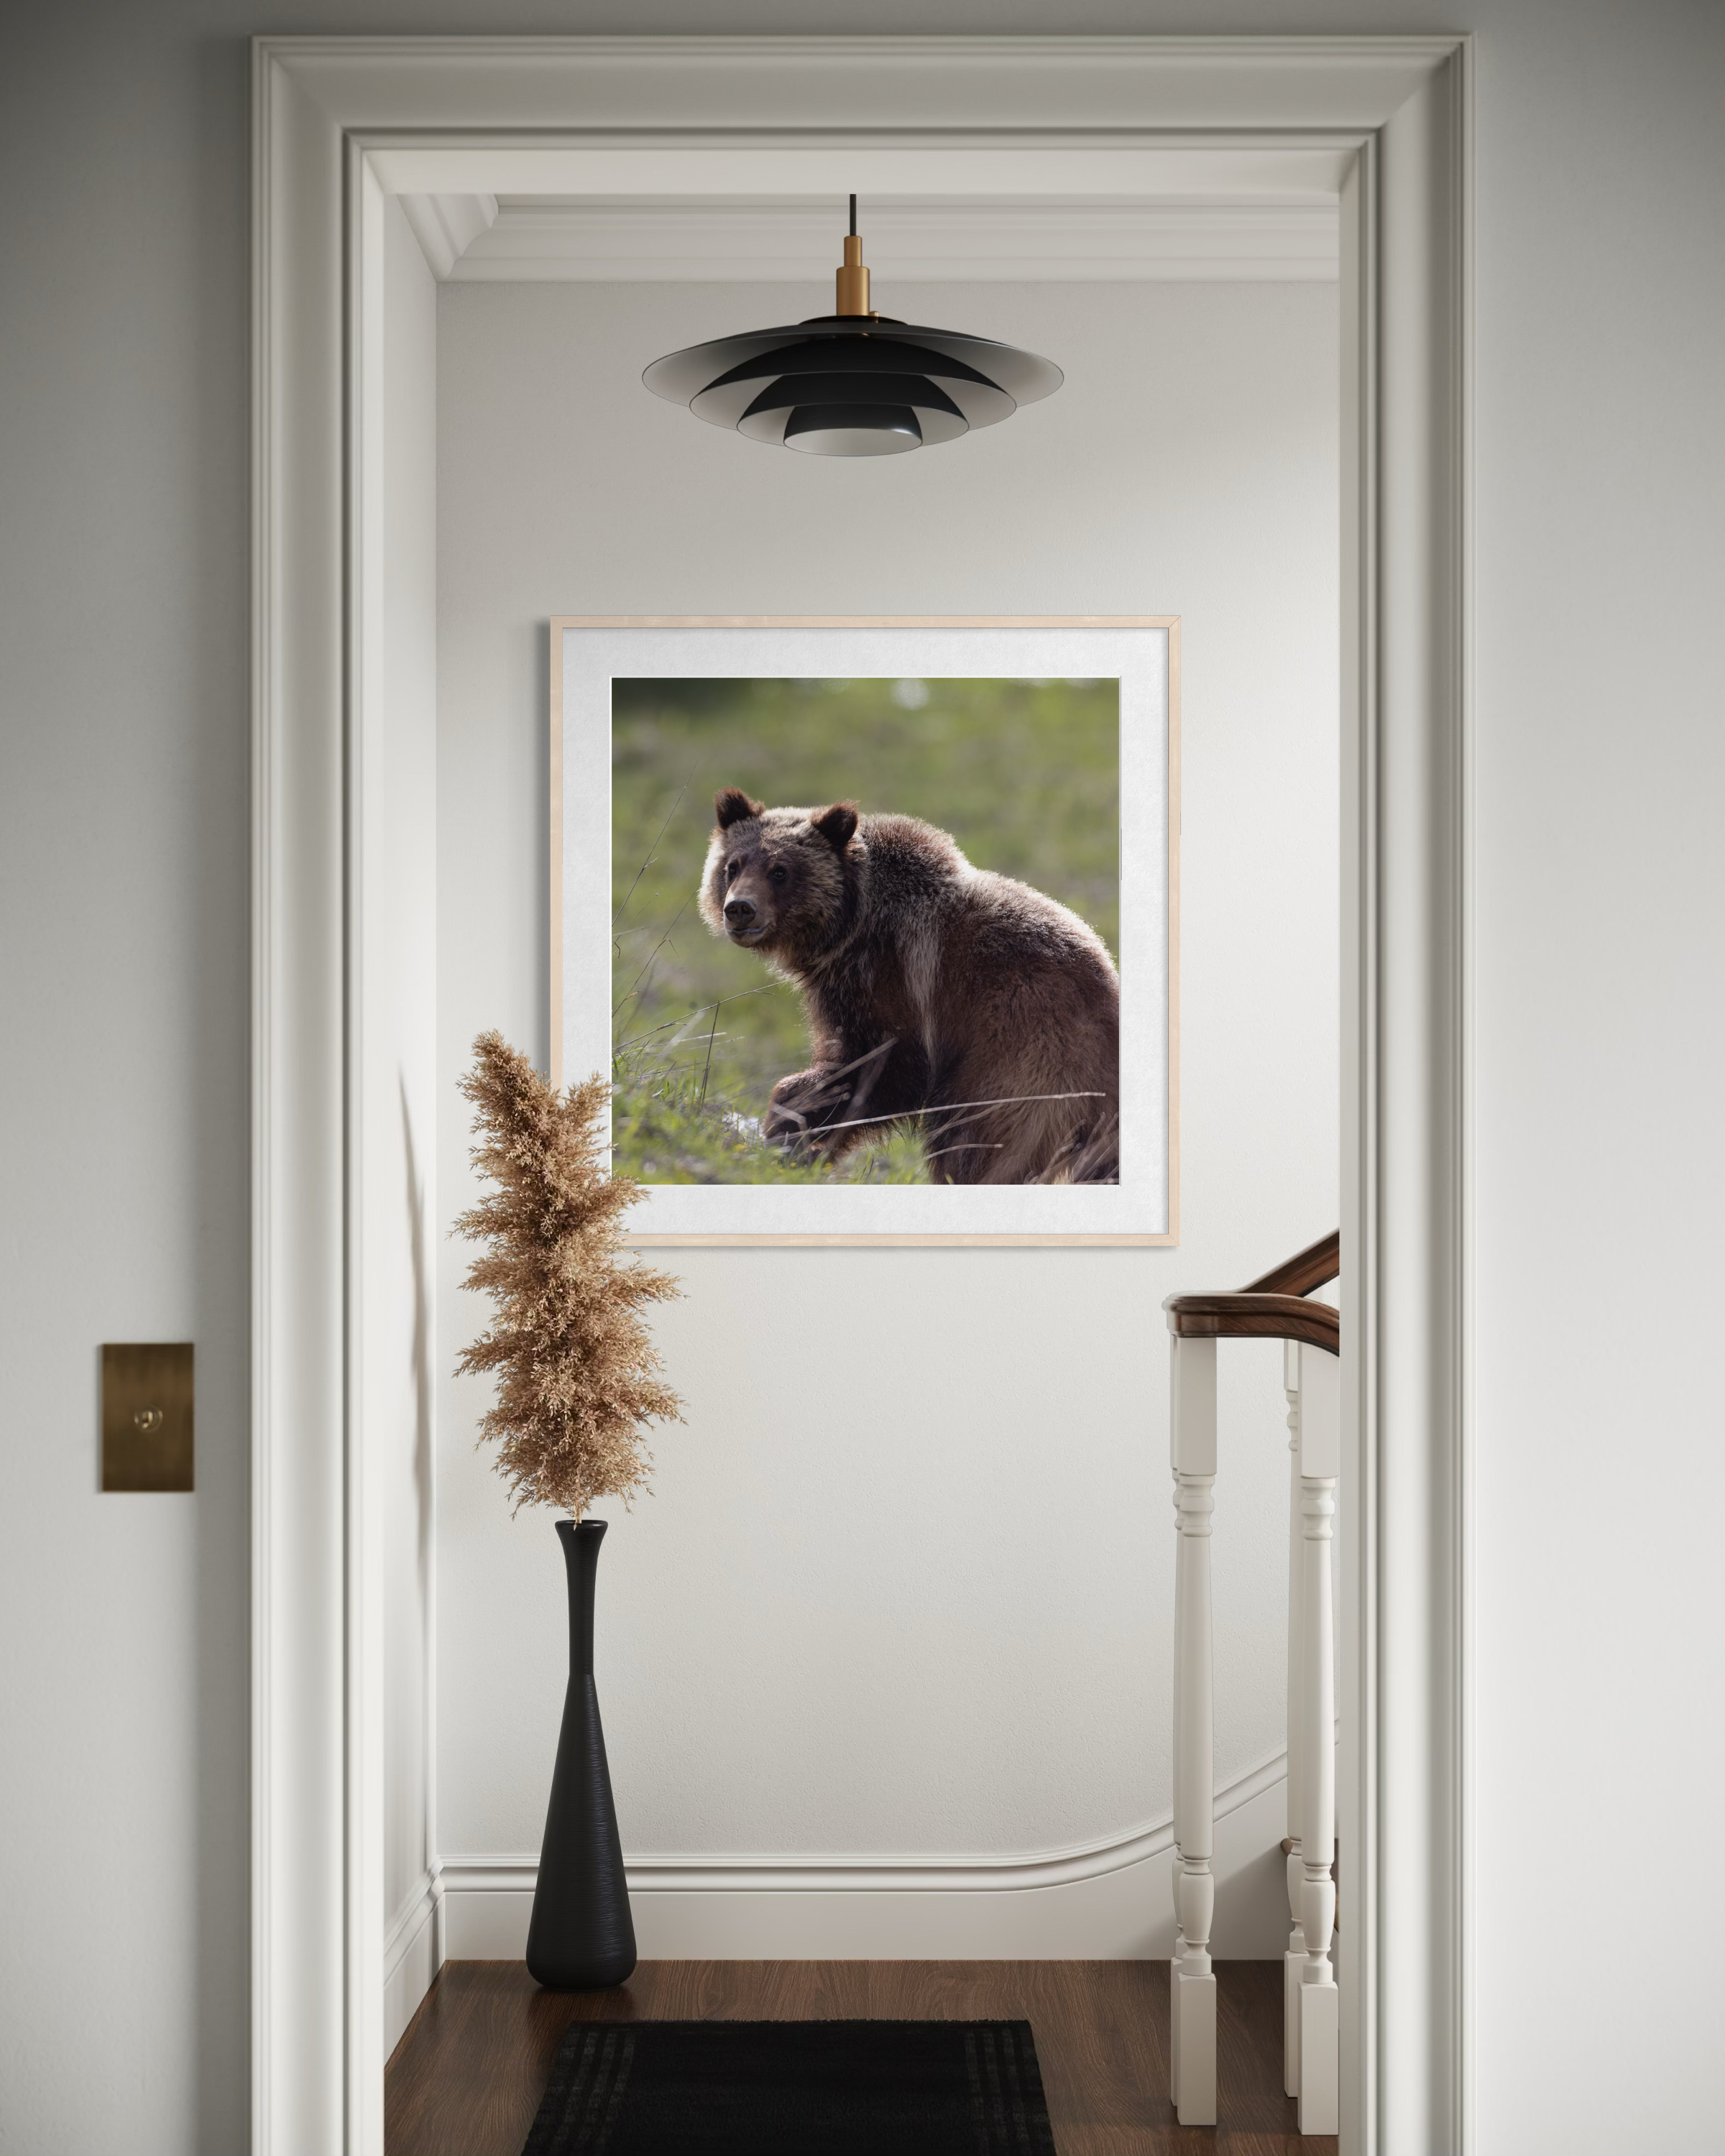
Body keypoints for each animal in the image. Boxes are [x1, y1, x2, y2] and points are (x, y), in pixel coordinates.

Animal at [697, 786, 1119, 1185]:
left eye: (780, 870)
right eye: (733, 866)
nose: (740, 909)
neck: (851, 926)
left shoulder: (896, 978)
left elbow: (879, 1067)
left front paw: (793, 1130)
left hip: (1024, 1055)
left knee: (978, 1140)